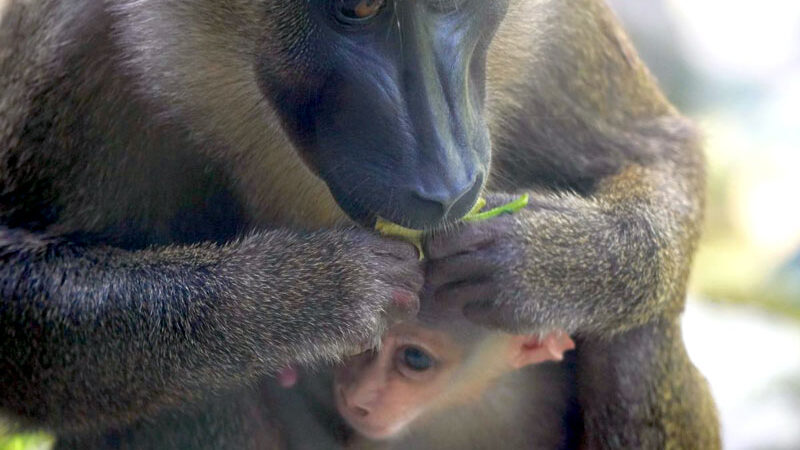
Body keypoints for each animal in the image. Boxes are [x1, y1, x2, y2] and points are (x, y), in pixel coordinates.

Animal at [0, 0, 720, 446]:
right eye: (359, 8)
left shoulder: (559, 22)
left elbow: (657, 148)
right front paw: (309, 291)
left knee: (636, 337)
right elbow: (18, 301)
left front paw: (546, 262)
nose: (446, 177)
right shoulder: (77, 44)